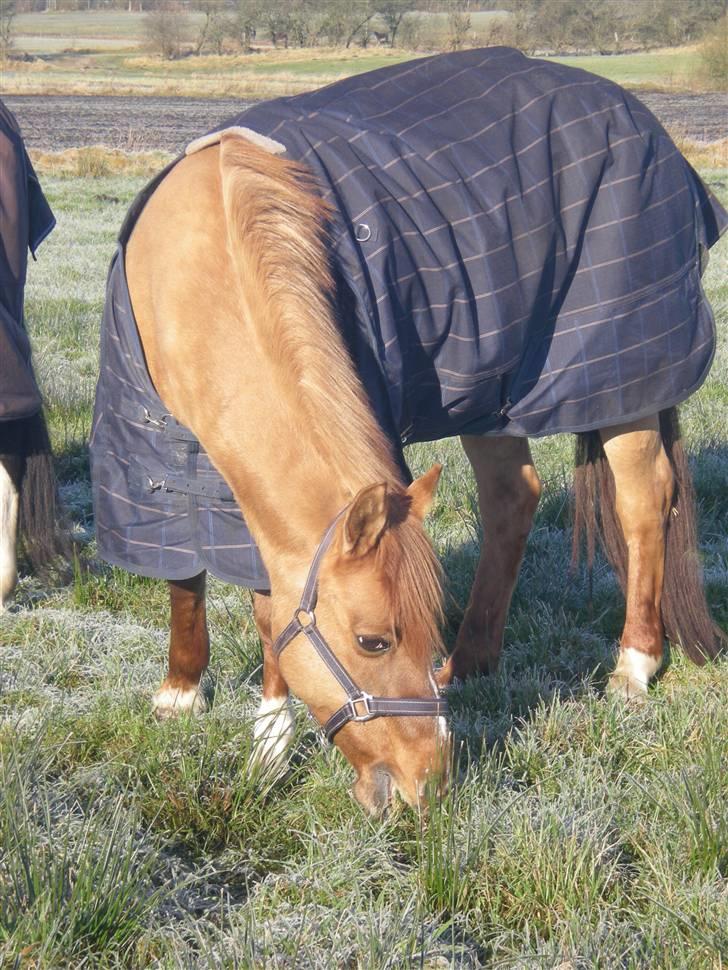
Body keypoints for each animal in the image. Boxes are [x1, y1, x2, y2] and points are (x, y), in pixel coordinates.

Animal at [92, 49, 728, 812]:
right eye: (373, 642)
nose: (430, 783)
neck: (200, 266)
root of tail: (646, 123)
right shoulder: (143, 452)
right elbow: (183, 574)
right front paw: (182, 692)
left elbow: (271, 610)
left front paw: (268, 745)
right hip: (494, 389)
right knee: (515, 498)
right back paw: (476, 660)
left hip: (619, 374)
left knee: (641, 505)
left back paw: (633, 665)